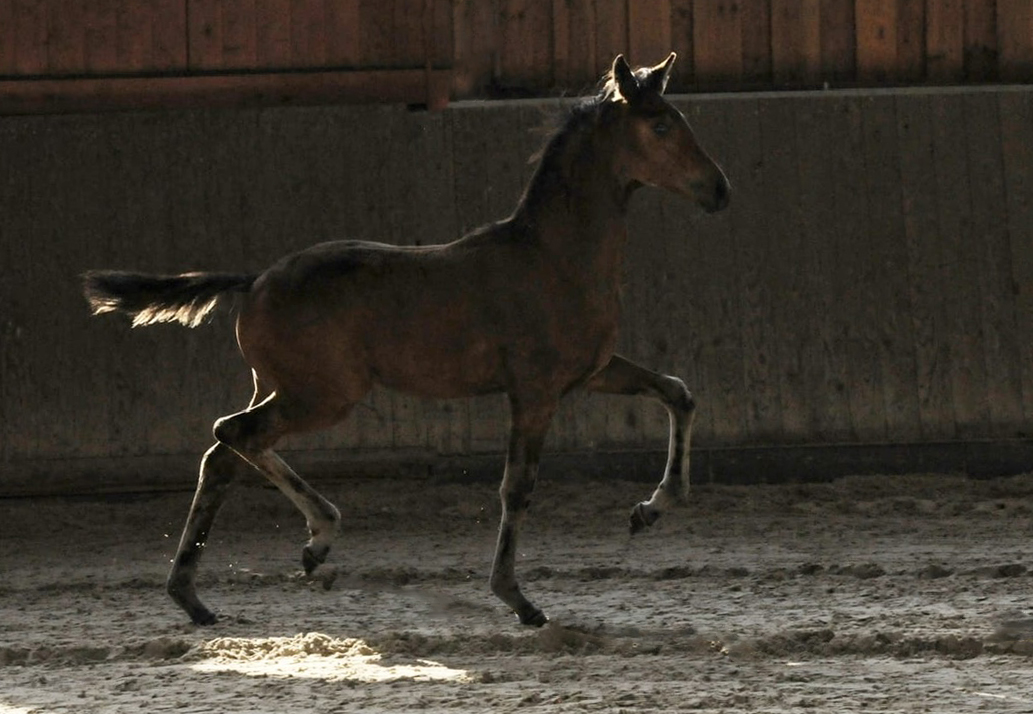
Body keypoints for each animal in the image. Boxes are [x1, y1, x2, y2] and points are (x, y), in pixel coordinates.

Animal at [84, 54, 731, 624]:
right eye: (661, 123)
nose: (719, 189)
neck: (555, 256)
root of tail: (256, 279)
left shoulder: (592, 372)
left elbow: (678, 392)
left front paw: (649, 511)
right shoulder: (535, 391)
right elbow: (516, 487)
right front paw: (517, 599)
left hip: (281, 388)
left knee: (223, 455)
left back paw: (204, 594)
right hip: (323, 396)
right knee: (232, 435)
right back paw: (314, 540)